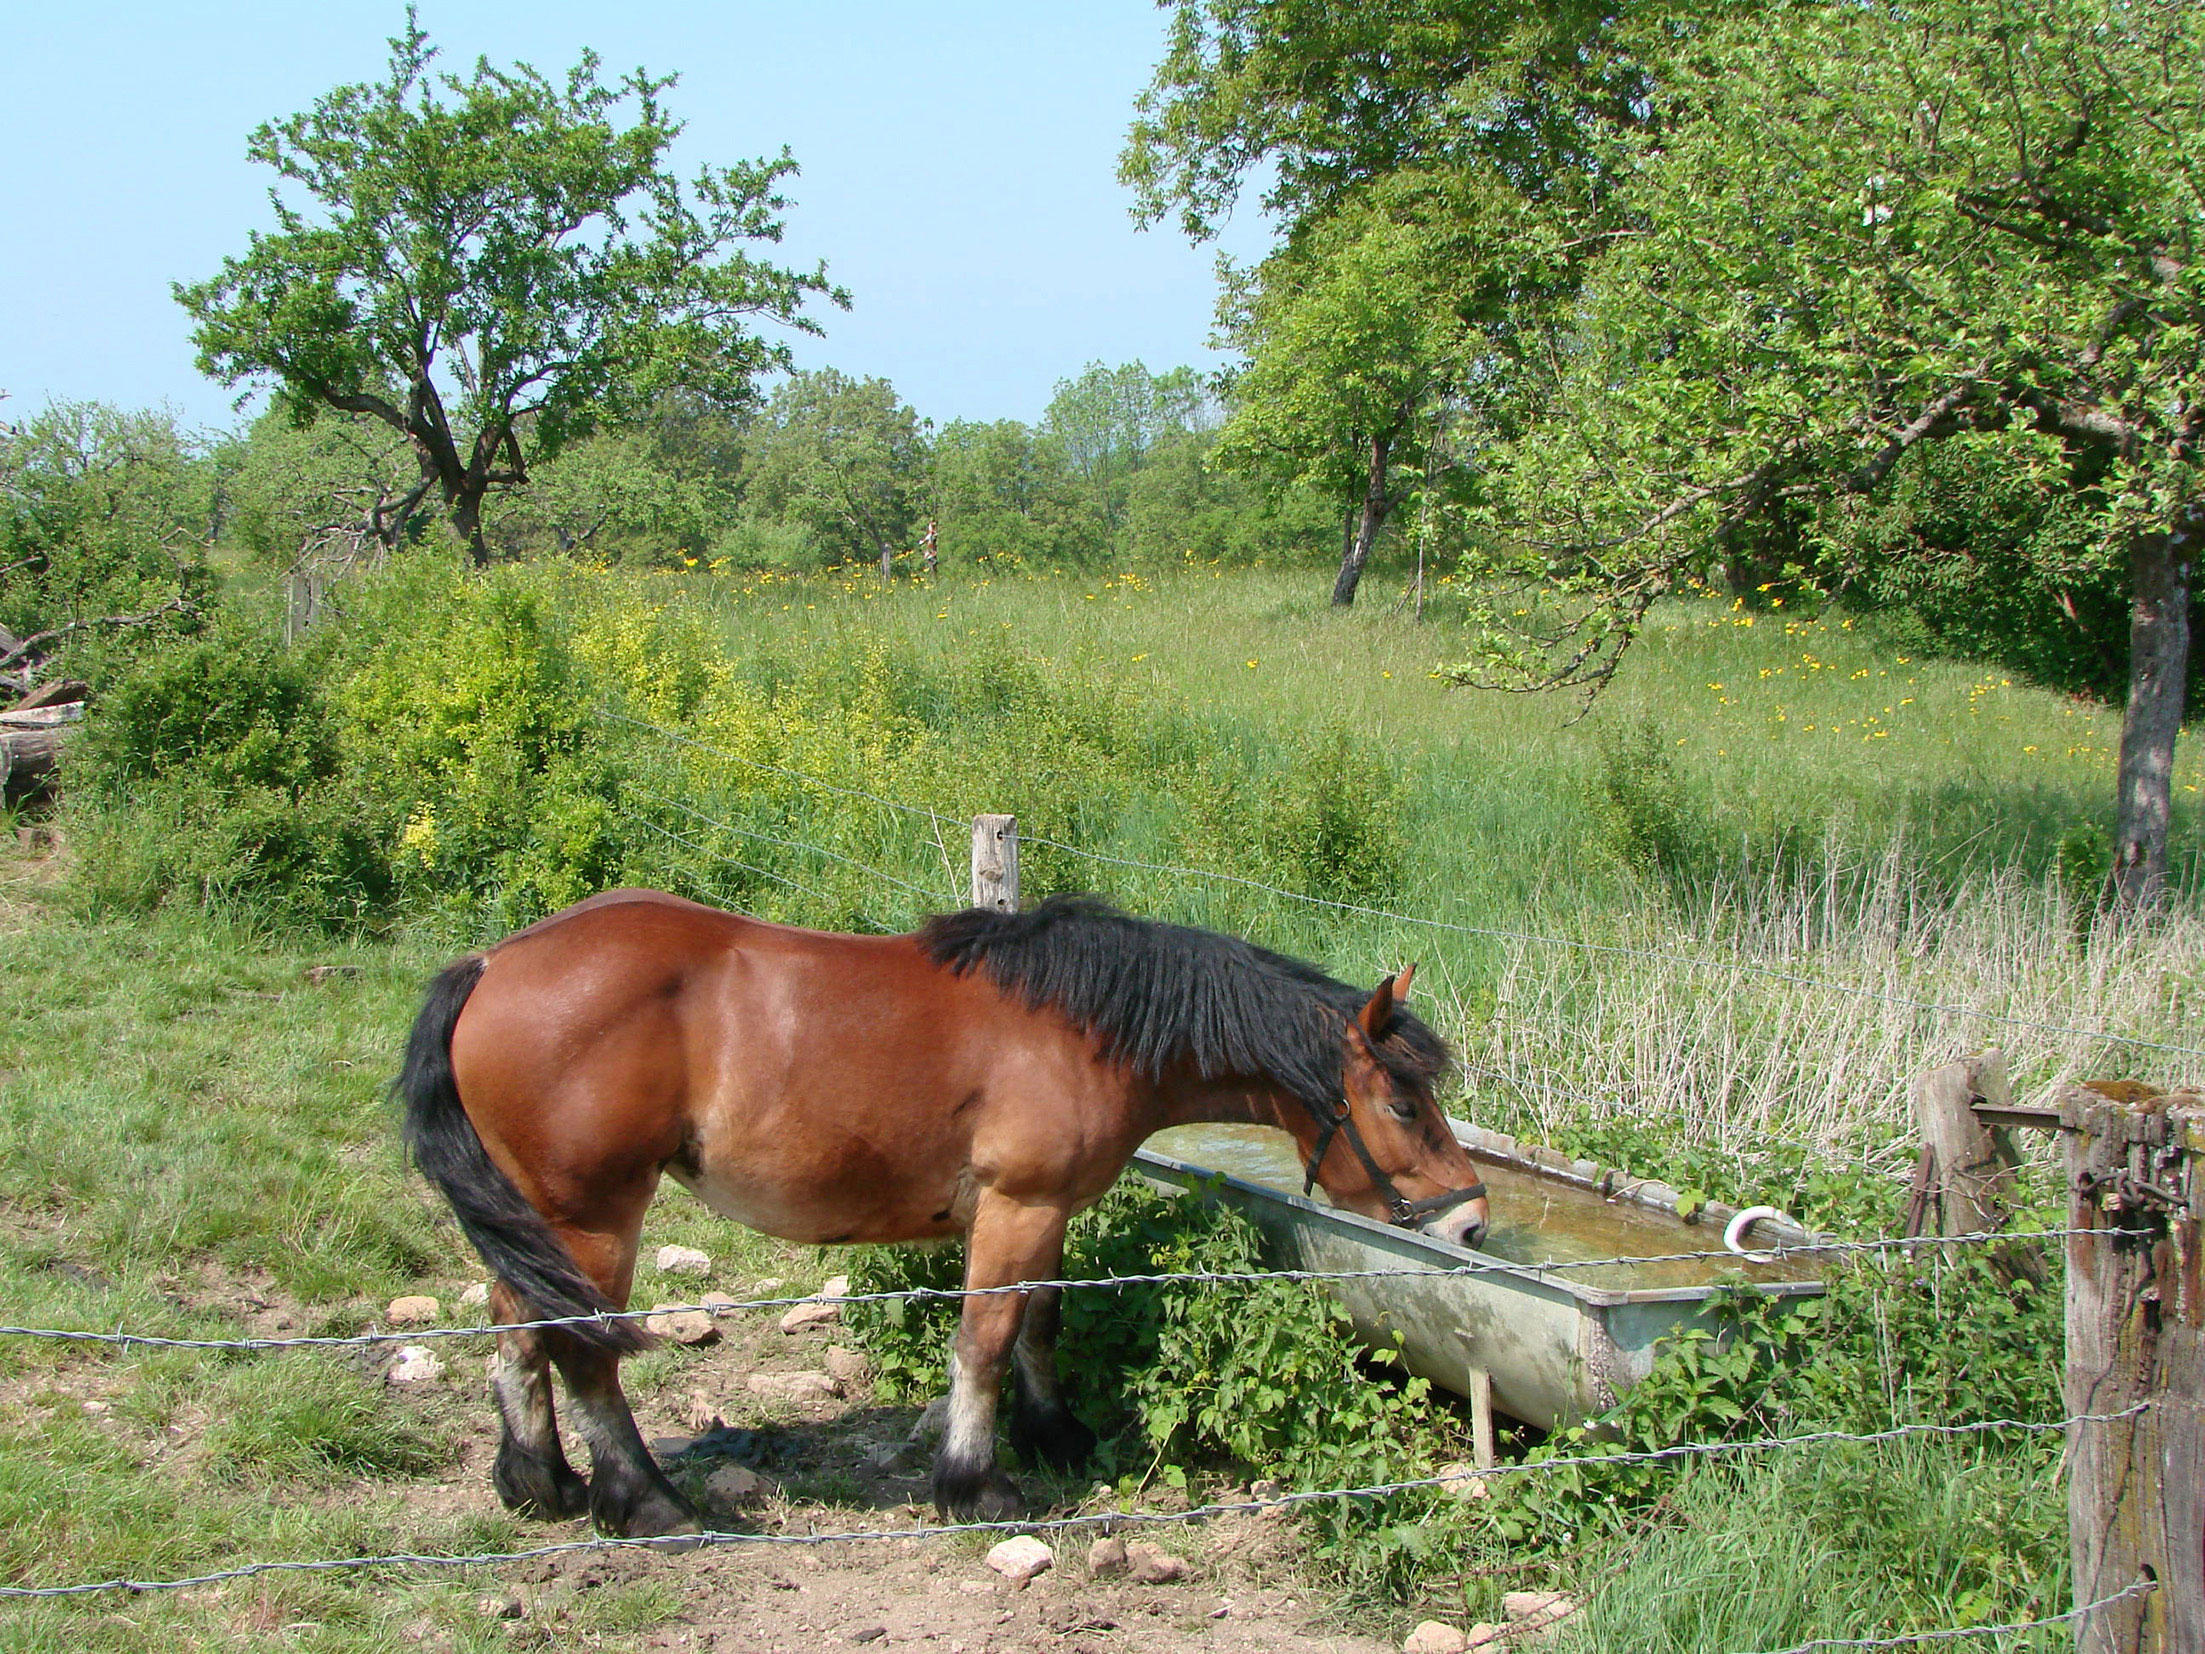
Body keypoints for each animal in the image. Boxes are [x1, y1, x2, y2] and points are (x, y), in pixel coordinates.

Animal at [398, 888, 1491, 1539]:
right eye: (1404, 1103)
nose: (1473, 1224)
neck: (1081, 1024)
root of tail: (491, 964)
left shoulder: (1043, 1213)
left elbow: (1041, 1321)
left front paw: (1055, 1434)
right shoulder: (1018, 1205)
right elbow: (987, 1339)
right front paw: (976, 1483)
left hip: (539, 1222)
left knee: (514, 1328)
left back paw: (540, 1482)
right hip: (594, 1218)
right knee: (581, 1350)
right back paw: (647, 1503)